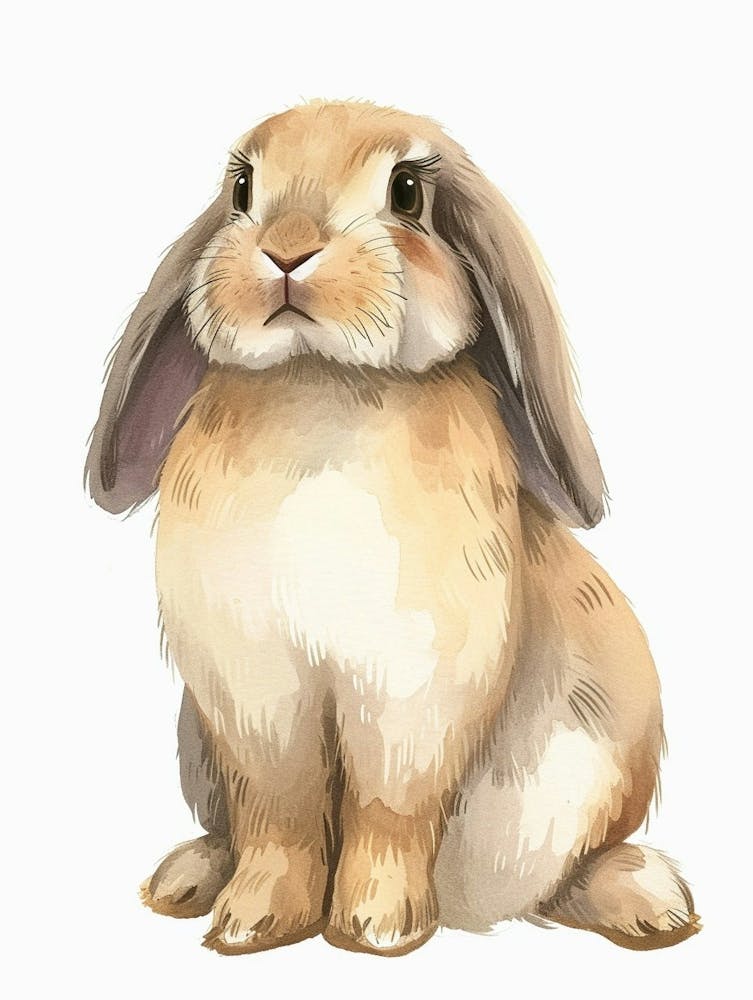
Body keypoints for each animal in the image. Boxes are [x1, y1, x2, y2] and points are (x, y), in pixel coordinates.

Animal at [86, 100, 699, 956]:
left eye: (406, 192)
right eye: (241, 189)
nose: (286, 250)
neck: (323, 380)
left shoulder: (413, 694)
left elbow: (387, 810)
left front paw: (376, 927)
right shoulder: (254, 694)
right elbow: (280, 814)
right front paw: (252, 923)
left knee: (576, 869)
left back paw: (651, 902)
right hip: (197, 743)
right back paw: (184, 880)